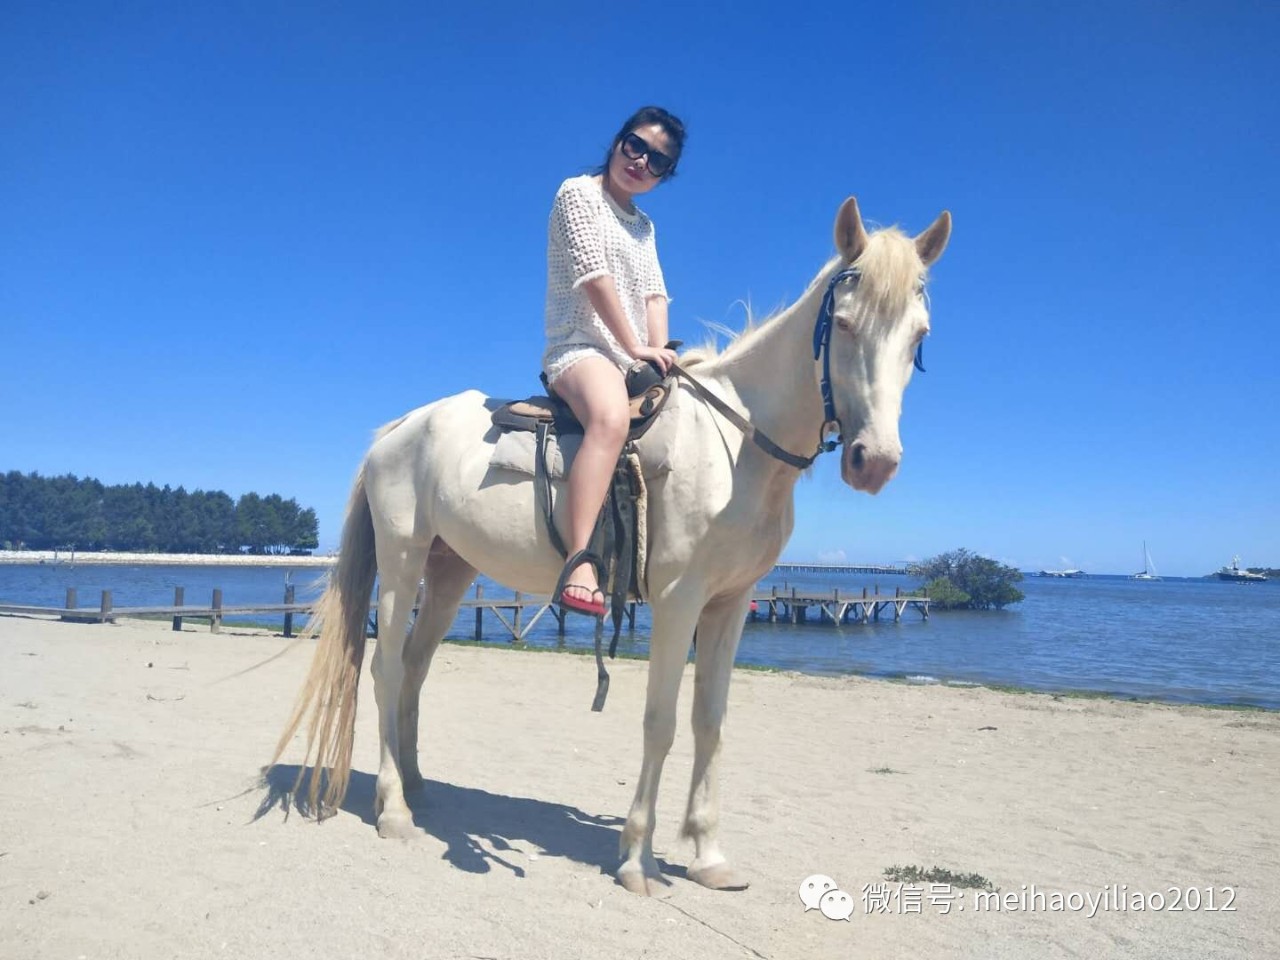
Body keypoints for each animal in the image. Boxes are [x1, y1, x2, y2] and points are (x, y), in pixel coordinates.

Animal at [271, 196, 951, 896]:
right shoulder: (679, 601)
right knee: (385, 670)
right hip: (403, 561)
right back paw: (394, 810)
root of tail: (397, 429)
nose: (875, 461)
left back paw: (415, 787)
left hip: (450, 571)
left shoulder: (731, 605)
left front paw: (708, 856)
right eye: (842, 323)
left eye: (919, 337)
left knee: (413, 669)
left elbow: (711, 722)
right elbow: (662, 722)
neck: (735, 447)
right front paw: (637, 860)